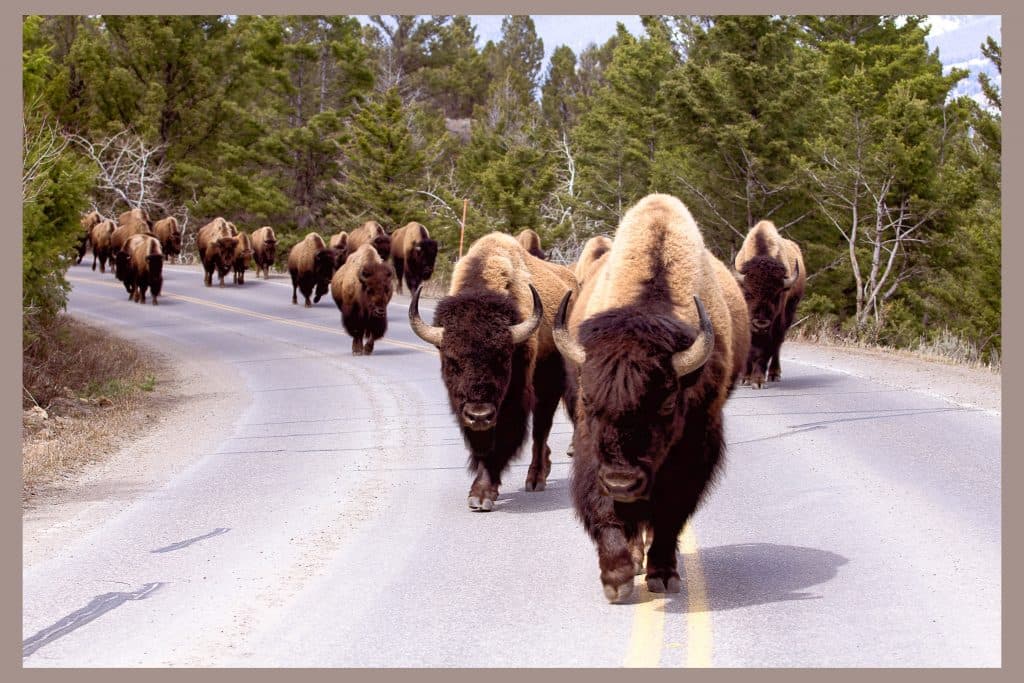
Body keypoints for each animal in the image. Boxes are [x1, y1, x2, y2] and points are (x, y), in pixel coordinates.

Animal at [409, 232, 578, 510]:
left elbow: (501, 441)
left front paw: (482, 495)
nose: (479, 414)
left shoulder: (512, 400)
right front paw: (480, 493)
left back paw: (535, 479)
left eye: (503, 358)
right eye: (452, 361)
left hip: (551, 384)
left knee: (541, 429)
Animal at [553, 194, 749, 603]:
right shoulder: (592, 451)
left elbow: (670, 513)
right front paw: (617, 578)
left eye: (667, 404)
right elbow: (605, 508)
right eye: (589, 402)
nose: (621, 482)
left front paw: (663, 575)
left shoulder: (692, 451)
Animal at [733, 220, 806, 388]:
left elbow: (764, 351)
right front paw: (745, 378)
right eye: (748, 293)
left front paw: (758, 381)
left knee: (778, 344)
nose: (761, 323)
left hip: (788, 314)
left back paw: (774, 374)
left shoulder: (774, 323)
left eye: (777, 295)